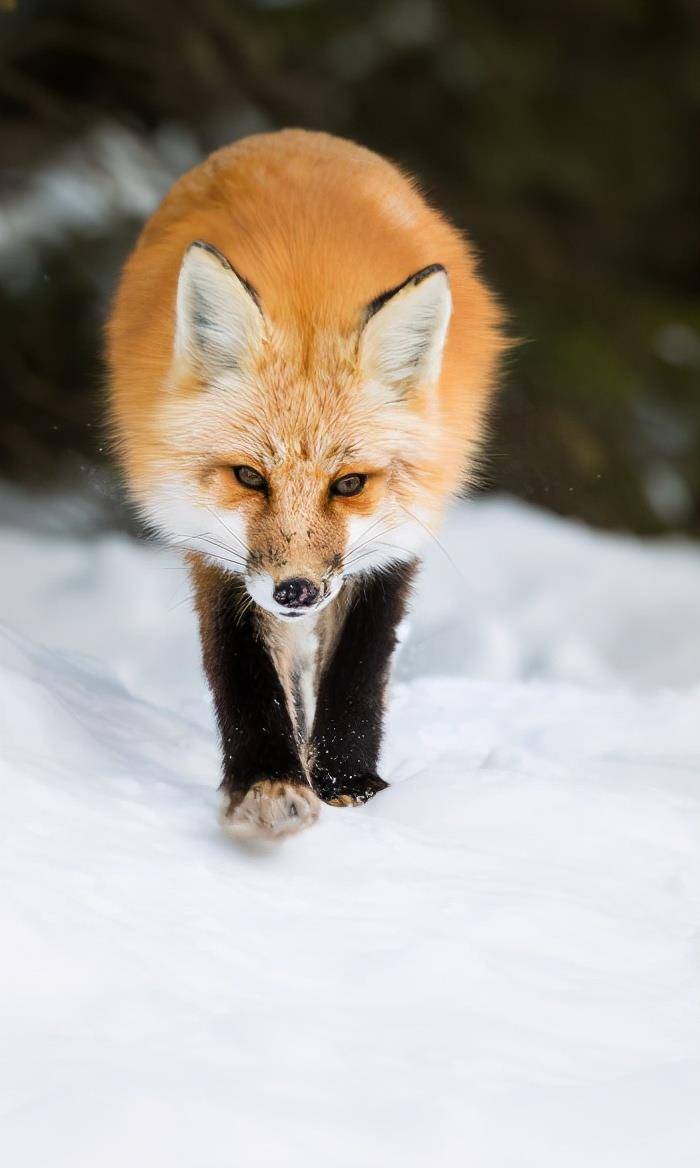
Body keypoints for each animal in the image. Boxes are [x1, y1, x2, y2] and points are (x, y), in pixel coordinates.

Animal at [106, 127, 504, 840]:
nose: (296, 590)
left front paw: (347, 784)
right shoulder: (216, 554)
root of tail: (295, 136)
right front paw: (268, 780)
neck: (310, 291)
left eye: (348, 484)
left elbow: (358, 669)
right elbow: (244, 672)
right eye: (248, 477)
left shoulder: (392, 547)